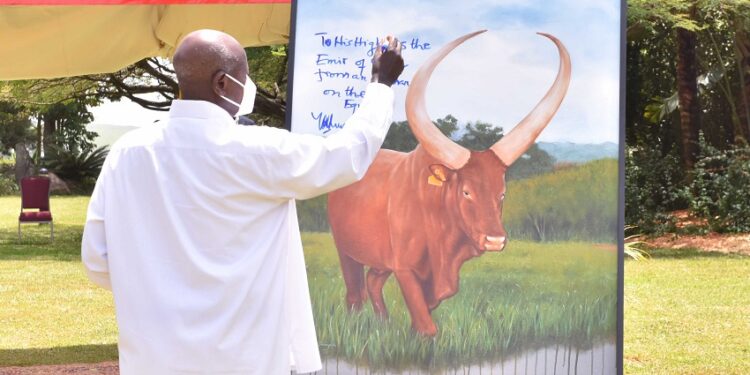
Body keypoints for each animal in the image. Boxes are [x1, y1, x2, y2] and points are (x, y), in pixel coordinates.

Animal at [328, 28, 568, 334]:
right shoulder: (405, 268)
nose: (495, 240)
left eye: (502, 194)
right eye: (466, 192)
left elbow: (424, 314)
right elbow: (427, 327)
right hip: (345, 250)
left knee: (372, 281)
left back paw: (384, 322)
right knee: (354, 293)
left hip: (379, 257)